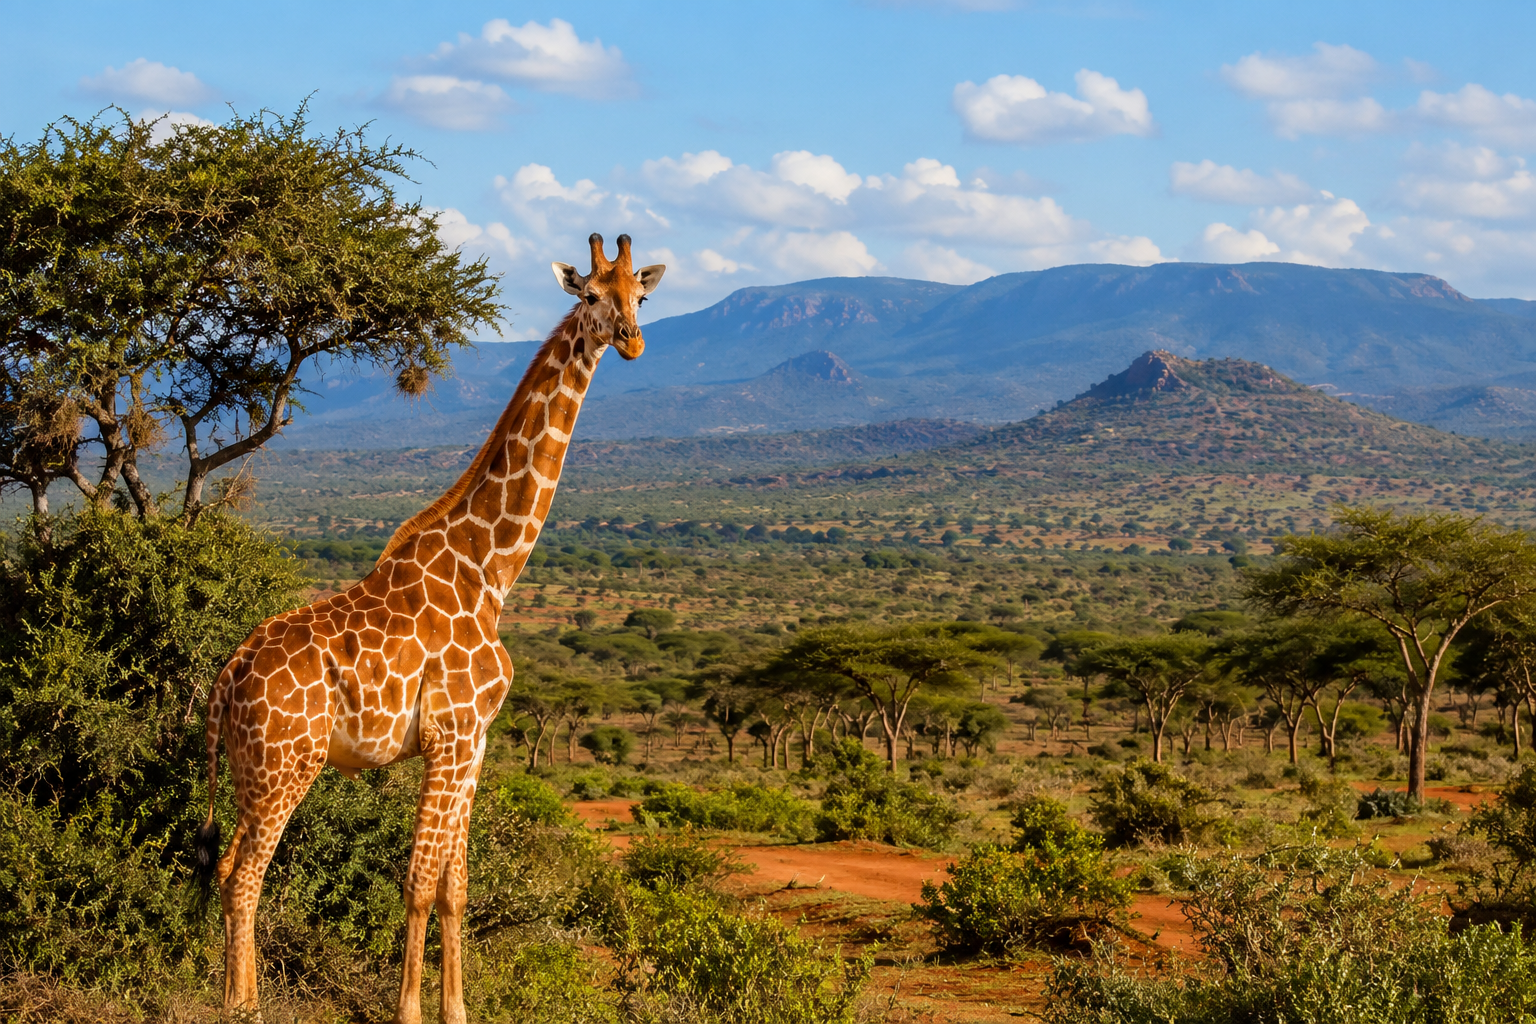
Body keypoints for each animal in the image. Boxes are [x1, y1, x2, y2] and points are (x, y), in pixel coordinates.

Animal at [198, 233, 663, 1024]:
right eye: (590, 295)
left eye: (641, 294)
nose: (631, 341)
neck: (490, 569)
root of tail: (227, 676)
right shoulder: (449, 734)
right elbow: (417, 881)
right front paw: (410, 1010)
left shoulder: (476, 739)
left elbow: (454, 886)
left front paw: (456, 1010)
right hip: (288, 764)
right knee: (242, 874)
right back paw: (241, 1006)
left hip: (248, 766)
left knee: (230, 865)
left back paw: (243, 995)